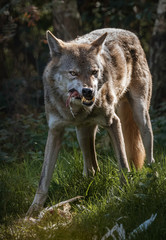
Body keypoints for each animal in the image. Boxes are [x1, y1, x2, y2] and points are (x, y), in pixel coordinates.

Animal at [26, 28, 155, 216]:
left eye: (94, 72)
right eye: (73, 73)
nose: (89, 91)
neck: (76, 110)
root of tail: (130, 33)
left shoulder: (113, 122)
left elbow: (123, 165)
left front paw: (126, 195)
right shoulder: (55, 131)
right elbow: (44, 178)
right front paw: (33, 211)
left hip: (141, 116)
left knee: (149, 152)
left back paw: (153, 179)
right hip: (83, 133)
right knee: (93, 168)